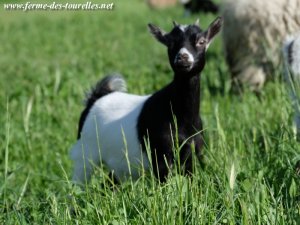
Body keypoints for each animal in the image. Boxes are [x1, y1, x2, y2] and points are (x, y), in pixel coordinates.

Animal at [71, 16, 223, 184]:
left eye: (201, 41)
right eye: (170, 43)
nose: (182, 58)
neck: (180, 115)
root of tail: (95, 98)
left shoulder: (191, 154)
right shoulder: (160, 155)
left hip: (118, 166)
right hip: (85, 153)